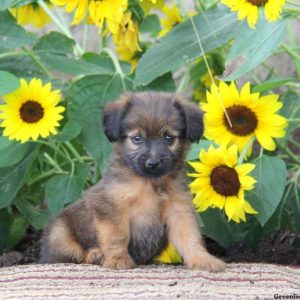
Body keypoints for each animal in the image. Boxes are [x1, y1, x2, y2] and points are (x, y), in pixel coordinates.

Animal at [41, 91, 226, 272]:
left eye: (168, 138)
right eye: (137, 138)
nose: (153, 163)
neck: (151, 184)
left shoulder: (179, 211)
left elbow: (190, 238)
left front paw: (202, 259)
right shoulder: (111, 207)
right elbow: (118, 235)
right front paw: (118, 259)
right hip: (59, 234)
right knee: (73, 254)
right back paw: (95, 254)